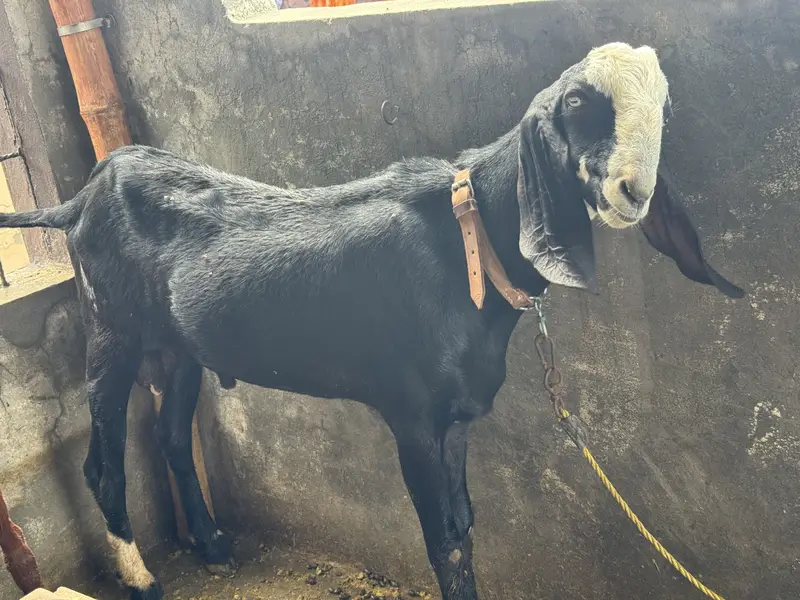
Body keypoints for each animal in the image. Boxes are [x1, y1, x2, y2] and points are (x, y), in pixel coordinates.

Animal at [0, 42, 743, 600]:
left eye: (664, 109)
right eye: (578, 103)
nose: (634, 189)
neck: (469, 242)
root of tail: (80, 198)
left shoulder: (456, 419)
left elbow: (465, 526)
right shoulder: (410, 412)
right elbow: (444, 544)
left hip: (178, 347)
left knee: (171, 438)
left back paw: (212, 544)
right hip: (111, 332)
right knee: (103, 464)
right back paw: (141, 579)